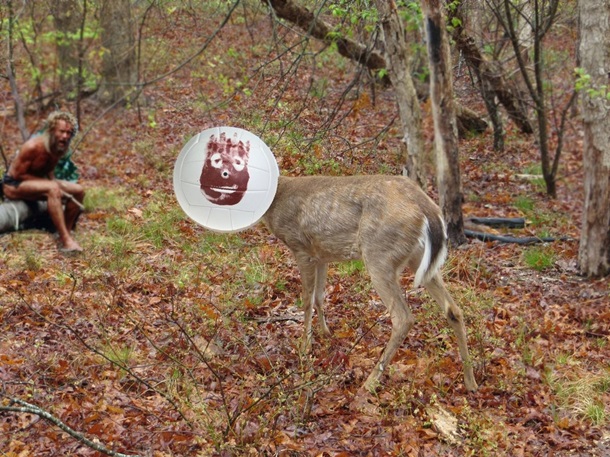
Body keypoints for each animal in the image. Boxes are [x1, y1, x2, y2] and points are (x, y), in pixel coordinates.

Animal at [258, 175, 478, 392]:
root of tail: (428, 208)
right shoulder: (321, 254)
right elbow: (319, 296)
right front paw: (326, 333)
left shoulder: (300, 247)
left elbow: (307, 300)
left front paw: (305, 347)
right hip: (418, 258)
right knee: (454, 309)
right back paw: (470, 382)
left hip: (379, 255)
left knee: (403, 318)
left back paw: (369, 383)